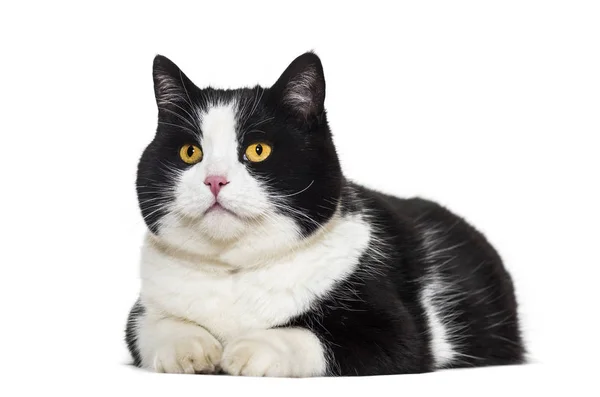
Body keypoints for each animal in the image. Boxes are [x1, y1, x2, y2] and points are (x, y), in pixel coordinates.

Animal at [126, 50, 524, 374]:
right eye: (190, 152)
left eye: (258, 150)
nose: (214, 180)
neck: (233, 272)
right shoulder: (139, 315)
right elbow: (148, 328)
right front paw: (190, 347)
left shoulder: (398, 332)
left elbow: (311, 336)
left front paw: (251, 349)